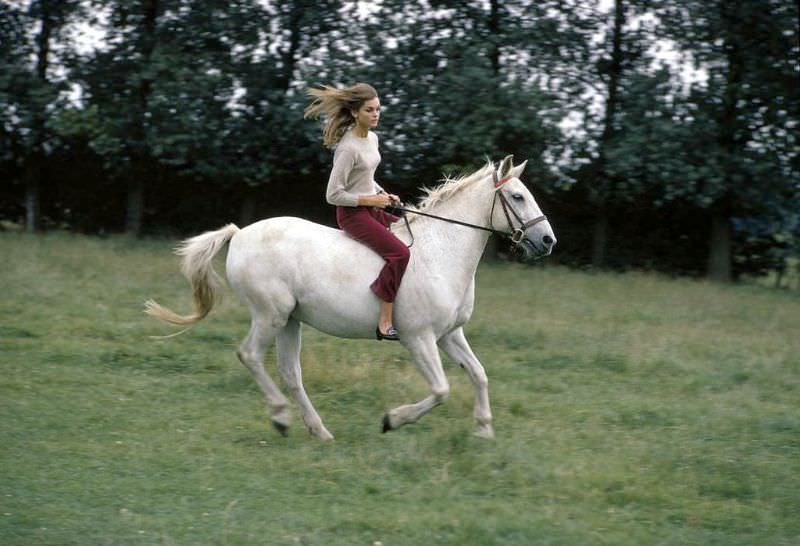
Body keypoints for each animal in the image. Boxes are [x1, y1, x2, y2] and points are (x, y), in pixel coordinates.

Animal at [145, 153, 556, 438]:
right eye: (517, 197)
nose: (548, 240)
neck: (441, 250)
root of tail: (240, 233)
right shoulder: (419, 338)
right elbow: (440, 390)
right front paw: (392, 419)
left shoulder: (449, 335)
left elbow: (479, 374)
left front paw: (484, 429)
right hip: (270, 315)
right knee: (250, 356)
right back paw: (280, 417)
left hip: (290, 320)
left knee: (290, 371)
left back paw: (318, 430)